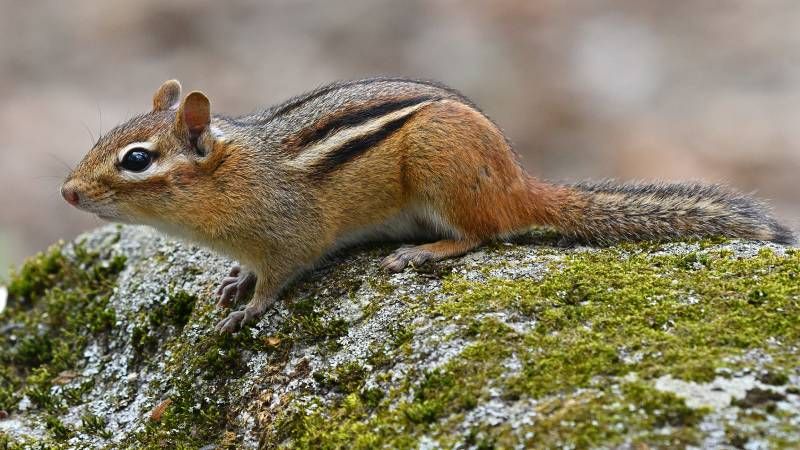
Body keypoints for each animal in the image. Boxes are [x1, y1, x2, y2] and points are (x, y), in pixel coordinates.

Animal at [61, 78, 795, 333]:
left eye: (136, 160)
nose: (67, 192)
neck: (233, 173)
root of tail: (516, 180)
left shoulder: (290, 231)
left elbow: (282, 273)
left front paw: (251, 306)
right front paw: (233, 280)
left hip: (442, 169)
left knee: (483, 233)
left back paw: (425, 251)